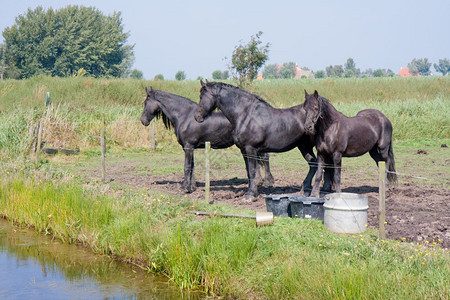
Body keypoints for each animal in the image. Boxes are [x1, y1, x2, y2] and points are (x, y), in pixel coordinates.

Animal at [141, 88, 274, 193]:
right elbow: (192, 166)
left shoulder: (188, 146)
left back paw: (267, 182)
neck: (185, 115)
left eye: (146, 102)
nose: (143, 120)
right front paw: (192, 187)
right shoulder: (189, 147)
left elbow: (187, 166)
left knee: (264, 159)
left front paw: (185, 188)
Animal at [193, 81, 330, 202]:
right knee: (314, 164)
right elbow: (249, 172)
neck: (246, 115)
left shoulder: (251, 149)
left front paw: (251, 195)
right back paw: (305, 189)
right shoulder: (244, 150)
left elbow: (253, 171)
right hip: (303, 146)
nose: (197, 116)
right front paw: (249, 192)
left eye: (201, 96)